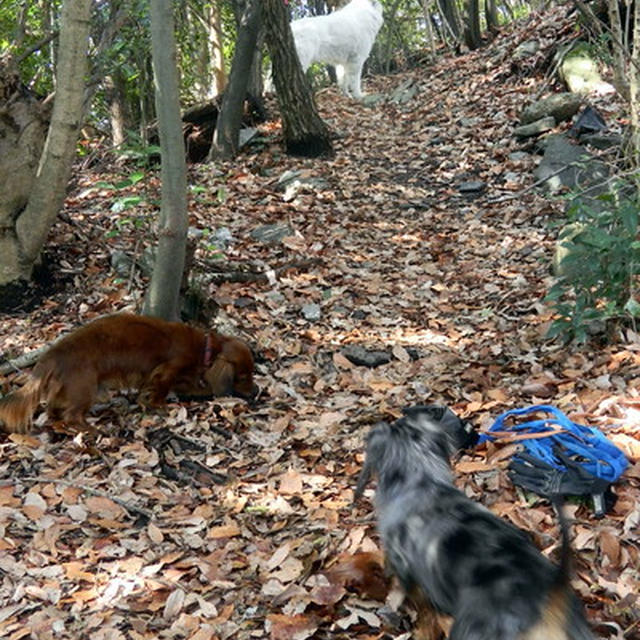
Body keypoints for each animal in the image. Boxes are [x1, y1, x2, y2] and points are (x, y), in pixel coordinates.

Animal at [2, 312, 258, 432]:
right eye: (243, 376)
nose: (256, 392)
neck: (204, 347)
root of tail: (52, 355)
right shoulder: (167, 370)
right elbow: (160, 390)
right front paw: (158, 406)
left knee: (54, 411)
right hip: (85, 387)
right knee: (71, 415)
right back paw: (92, 429)